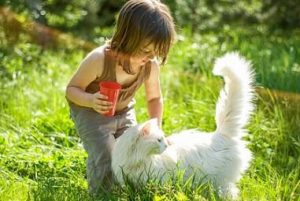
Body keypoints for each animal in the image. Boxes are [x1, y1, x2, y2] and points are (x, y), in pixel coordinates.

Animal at [111, 52, 254, 199]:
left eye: (163, 139)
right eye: (159, 140)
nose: (167, 146)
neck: (135, 160)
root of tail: (219, 135)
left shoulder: (159, 180)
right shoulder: (130, 183)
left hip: (219, 183)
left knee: (230, 193)